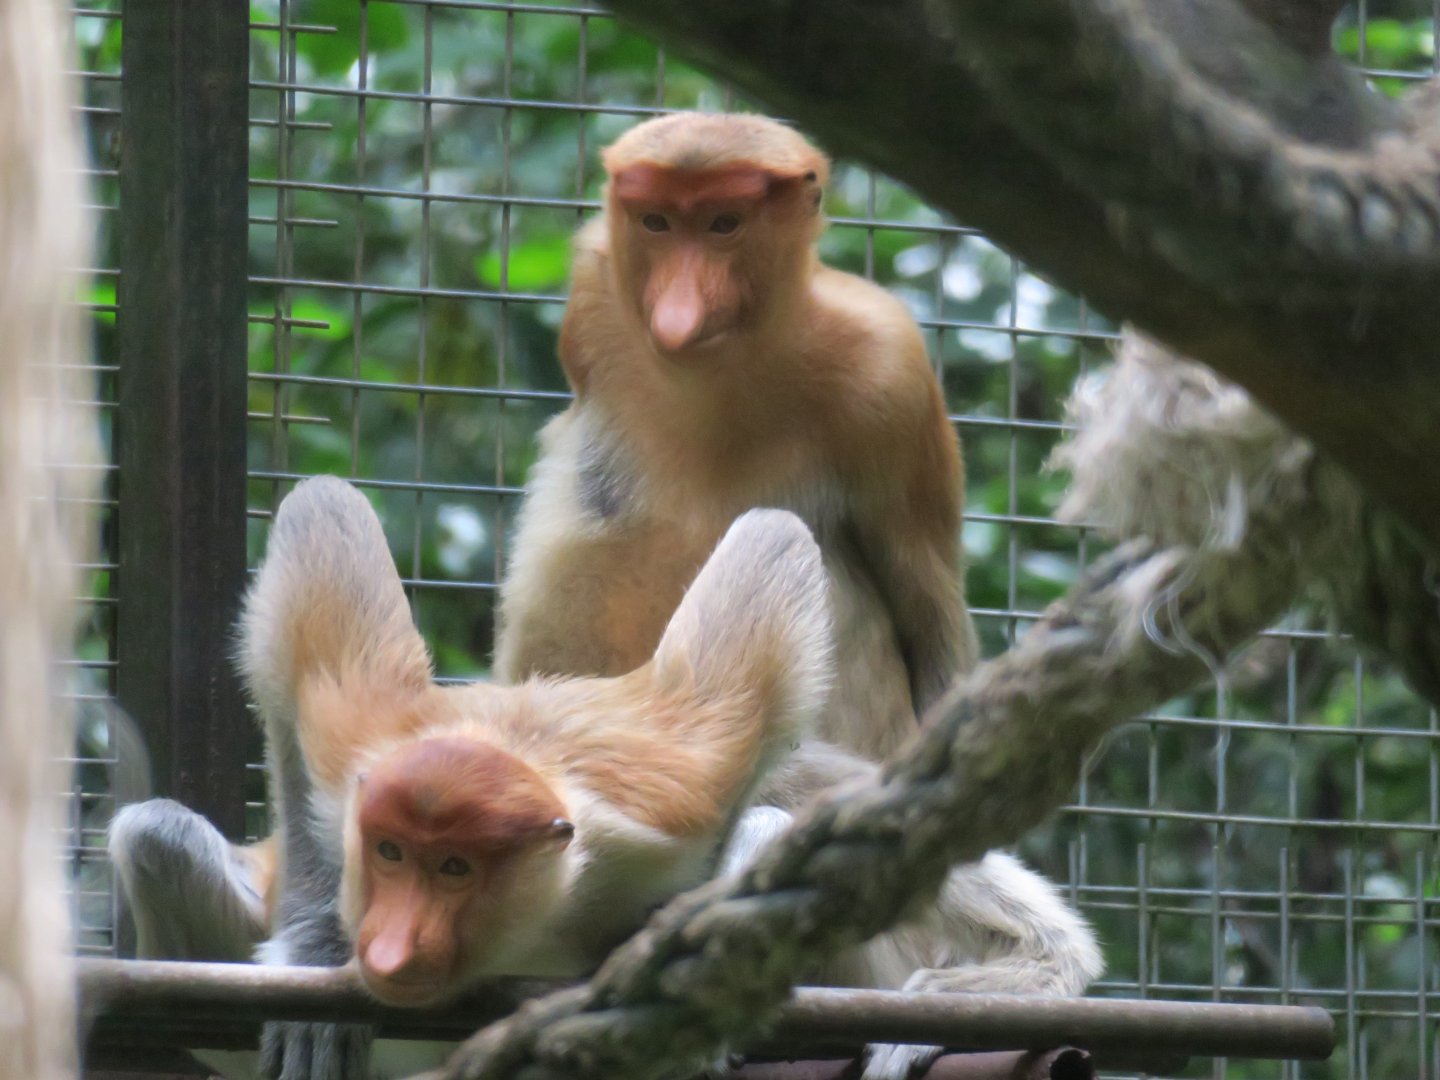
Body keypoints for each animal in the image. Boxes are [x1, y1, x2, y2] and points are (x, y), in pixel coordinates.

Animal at [110, 475, 834, 1080]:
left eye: (455, 868)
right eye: (390, 853)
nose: (389, 948)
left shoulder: (677, 789)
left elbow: (771, 544)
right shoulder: (353, 744)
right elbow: (319, 530)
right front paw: (315, 956)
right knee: (156, 834)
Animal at [493, 111, 979, 764]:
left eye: (725, 223)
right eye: (656, 222)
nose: (676, 317)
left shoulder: (891, 376)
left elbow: (931, 608)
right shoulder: (595, 289)